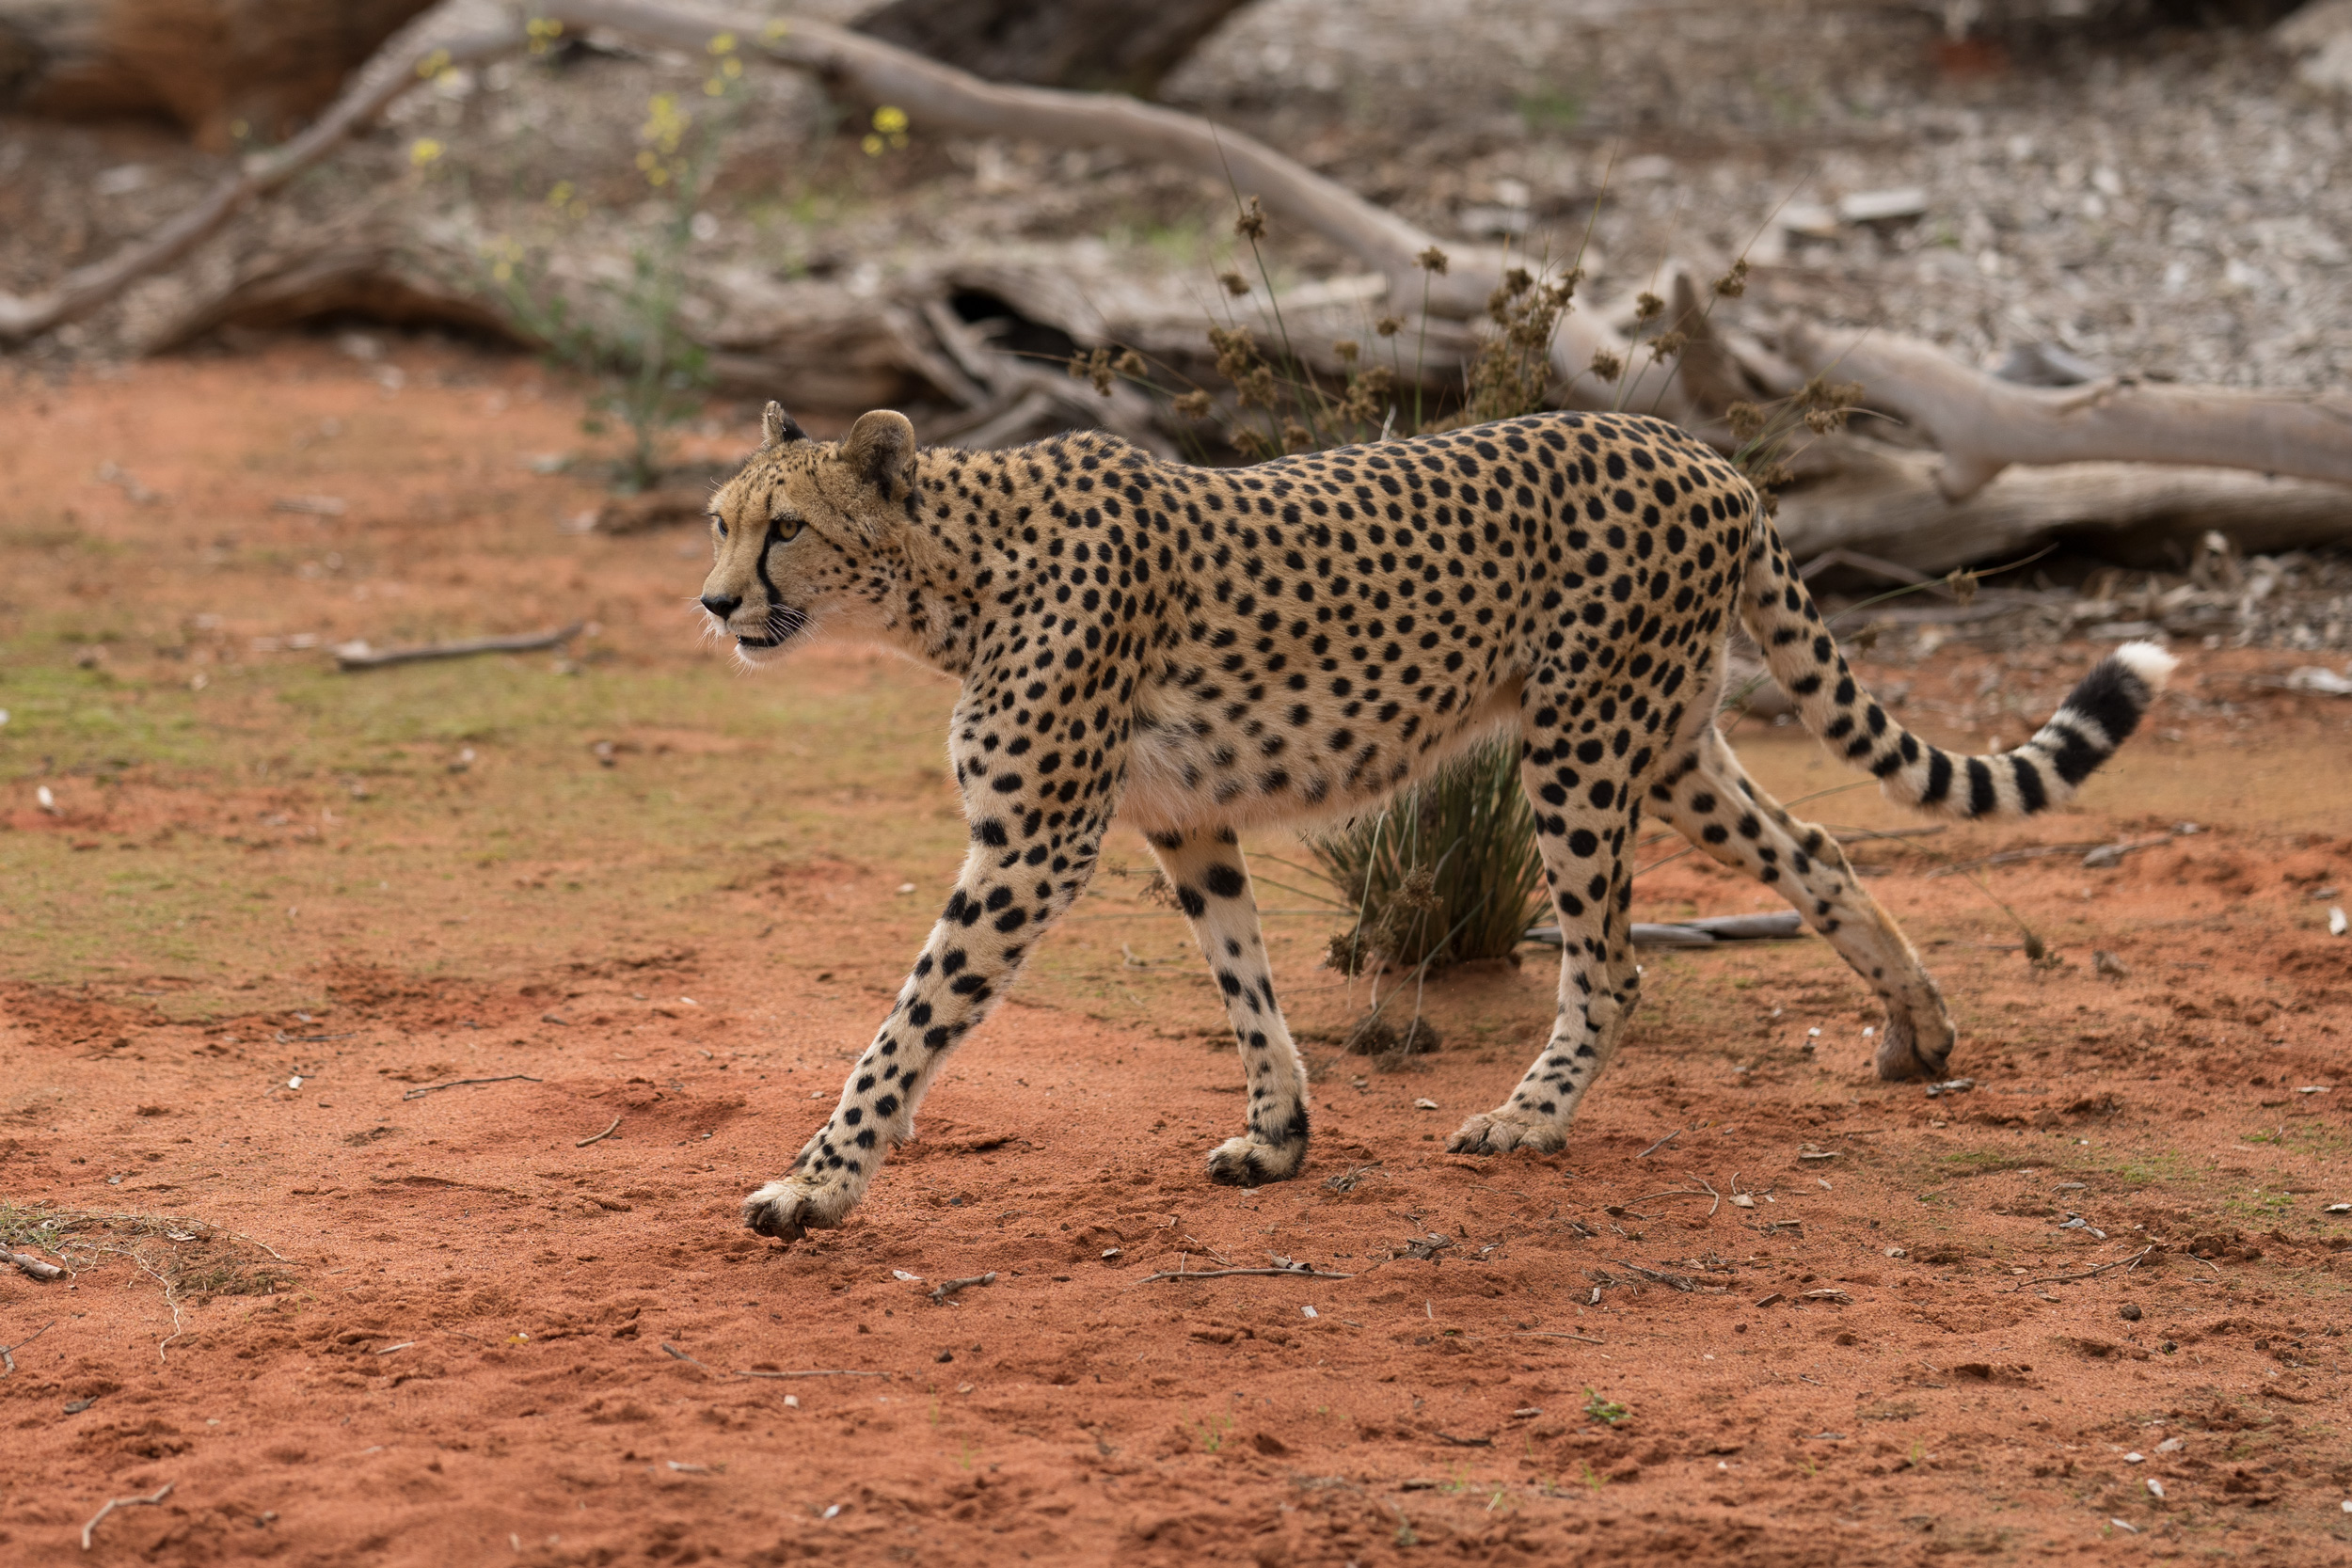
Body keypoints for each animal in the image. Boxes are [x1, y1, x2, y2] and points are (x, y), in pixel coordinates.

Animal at [696, 402, 2164, 1241]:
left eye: (785, 528)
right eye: (718, 521)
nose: (714, 604)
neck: (959, 568)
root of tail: (1703, 450)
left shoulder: (1032, 846)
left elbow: (905, 1024)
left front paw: (816, 1183)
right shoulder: (1186, 820)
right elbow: (1245, 981)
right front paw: (1280, 1132)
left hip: (1579, 748)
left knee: (1612, 963)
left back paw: (1529, 1118)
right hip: (1668, 744)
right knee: (1816, 847)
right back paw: (1918, 1026)